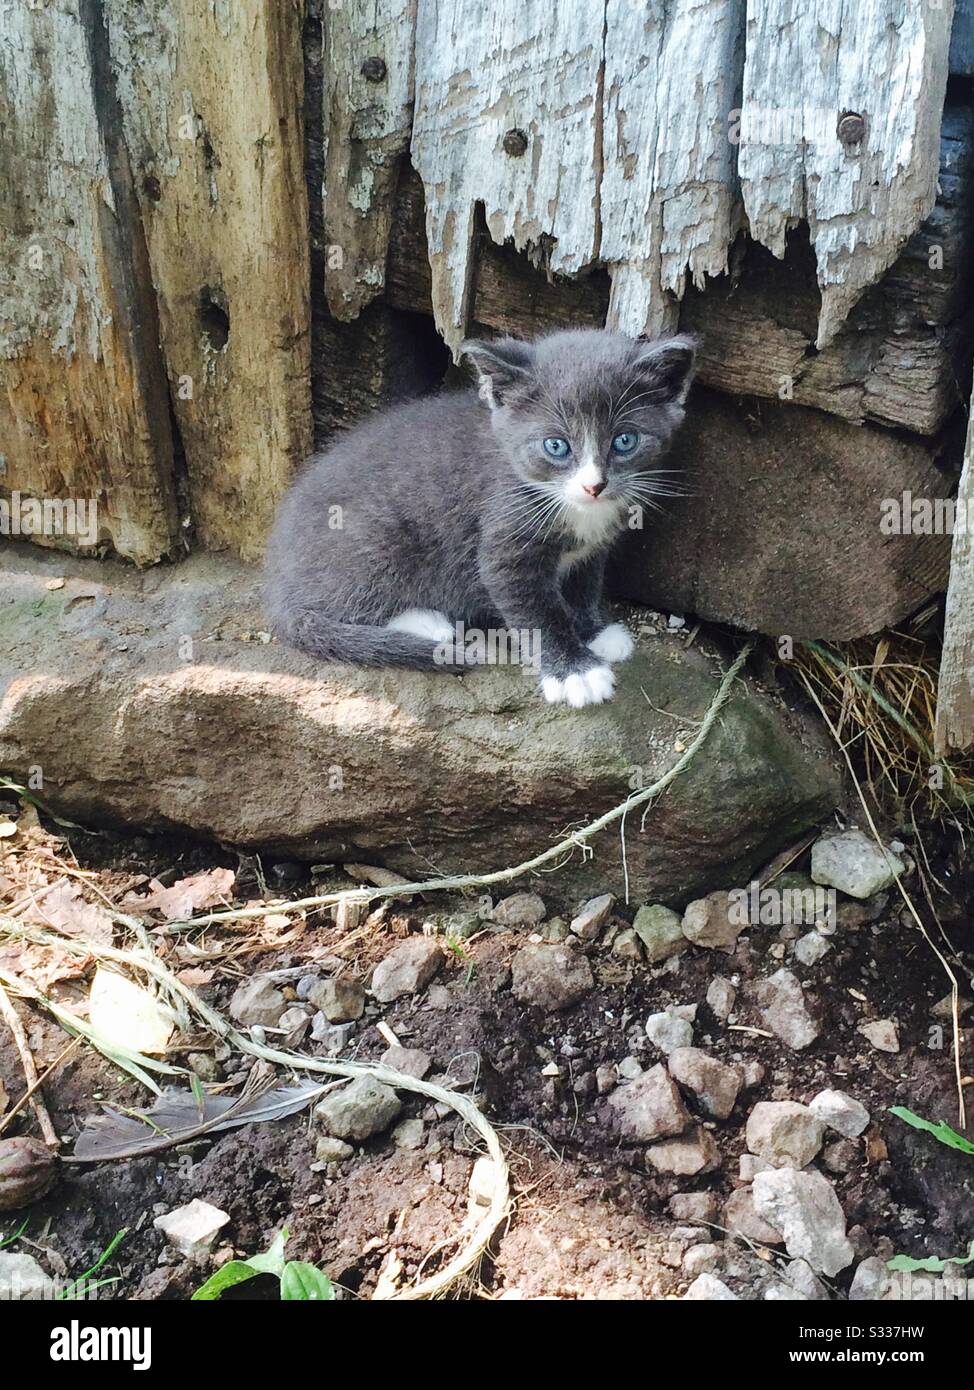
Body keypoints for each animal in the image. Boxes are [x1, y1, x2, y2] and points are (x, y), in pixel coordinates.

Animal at [262, 328, 694, 706]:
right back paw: (427, 623)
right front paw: (574, 671)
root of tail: (277, 578)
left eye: (625, 441)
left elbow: (584, 583)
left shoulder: (592, 548)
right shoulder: (503, 548)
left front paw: (594, 632)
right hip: (374, 537)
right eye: (556, 445)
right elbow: (537, 611)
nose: (594, 486)